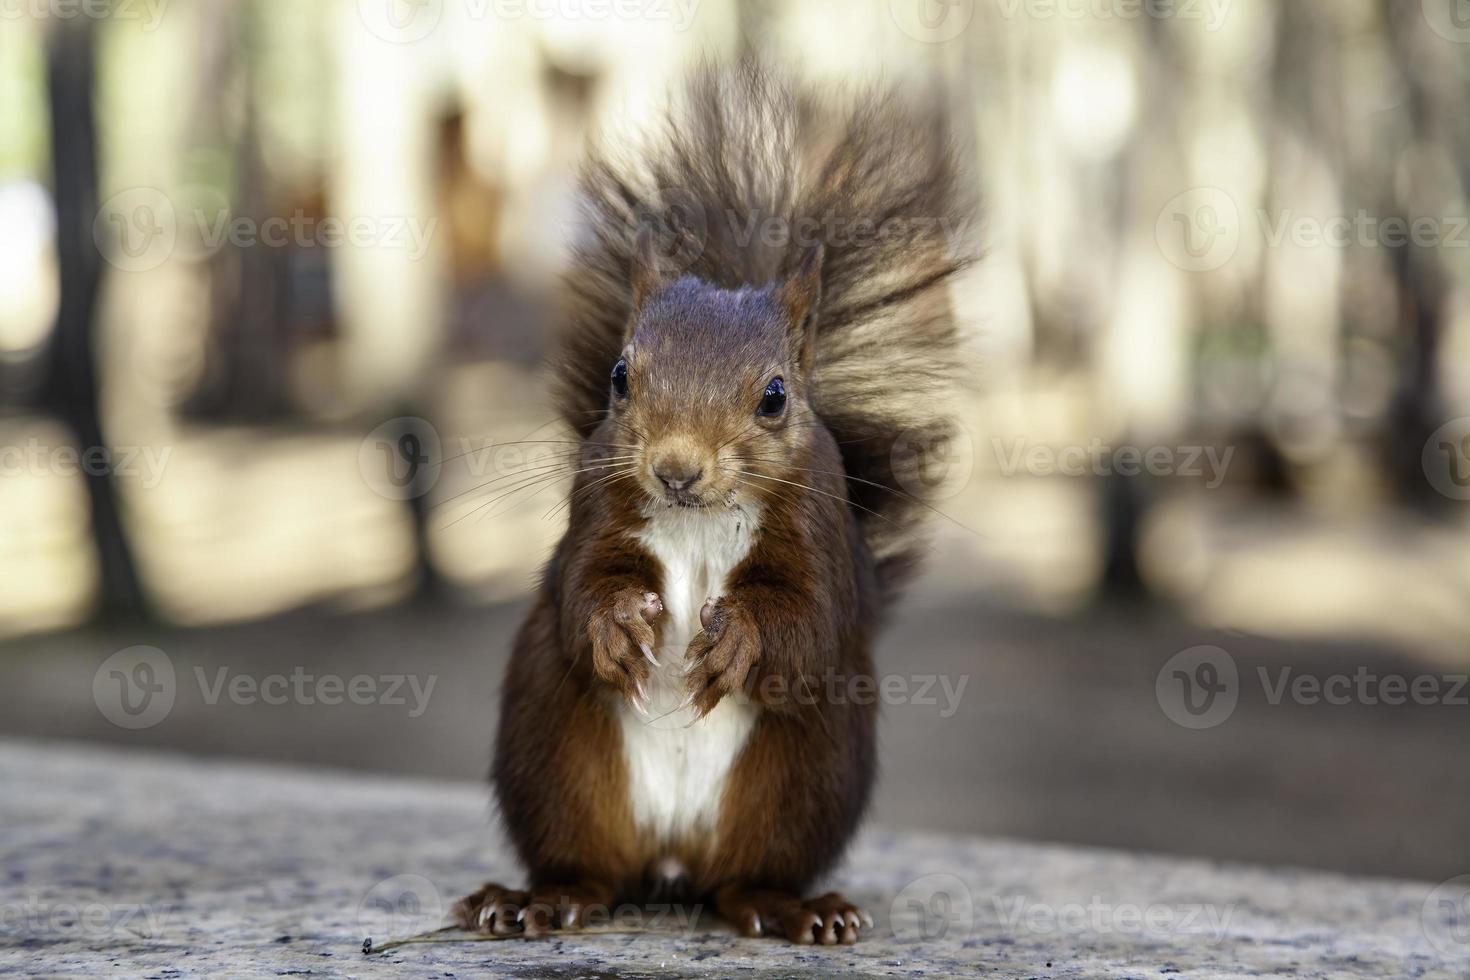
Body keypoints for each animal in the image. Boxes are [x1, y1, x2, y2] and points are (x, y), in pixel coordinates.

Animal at [452, 63, 970, 952]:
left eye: (775, 396)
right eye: (620, 377)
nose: (675, 470)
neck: (696, 518)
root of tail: (672, 859)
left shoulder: (822, 534)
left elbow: (806, 624)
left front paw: (738, 640)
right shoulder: (594, 509)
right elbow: (579, 590)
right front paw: (619, 624)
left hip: (802, 782)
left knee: (745, 883)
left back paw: (798, 909)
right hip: (556, 766)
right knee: (589, 870)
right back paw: (536, 899)